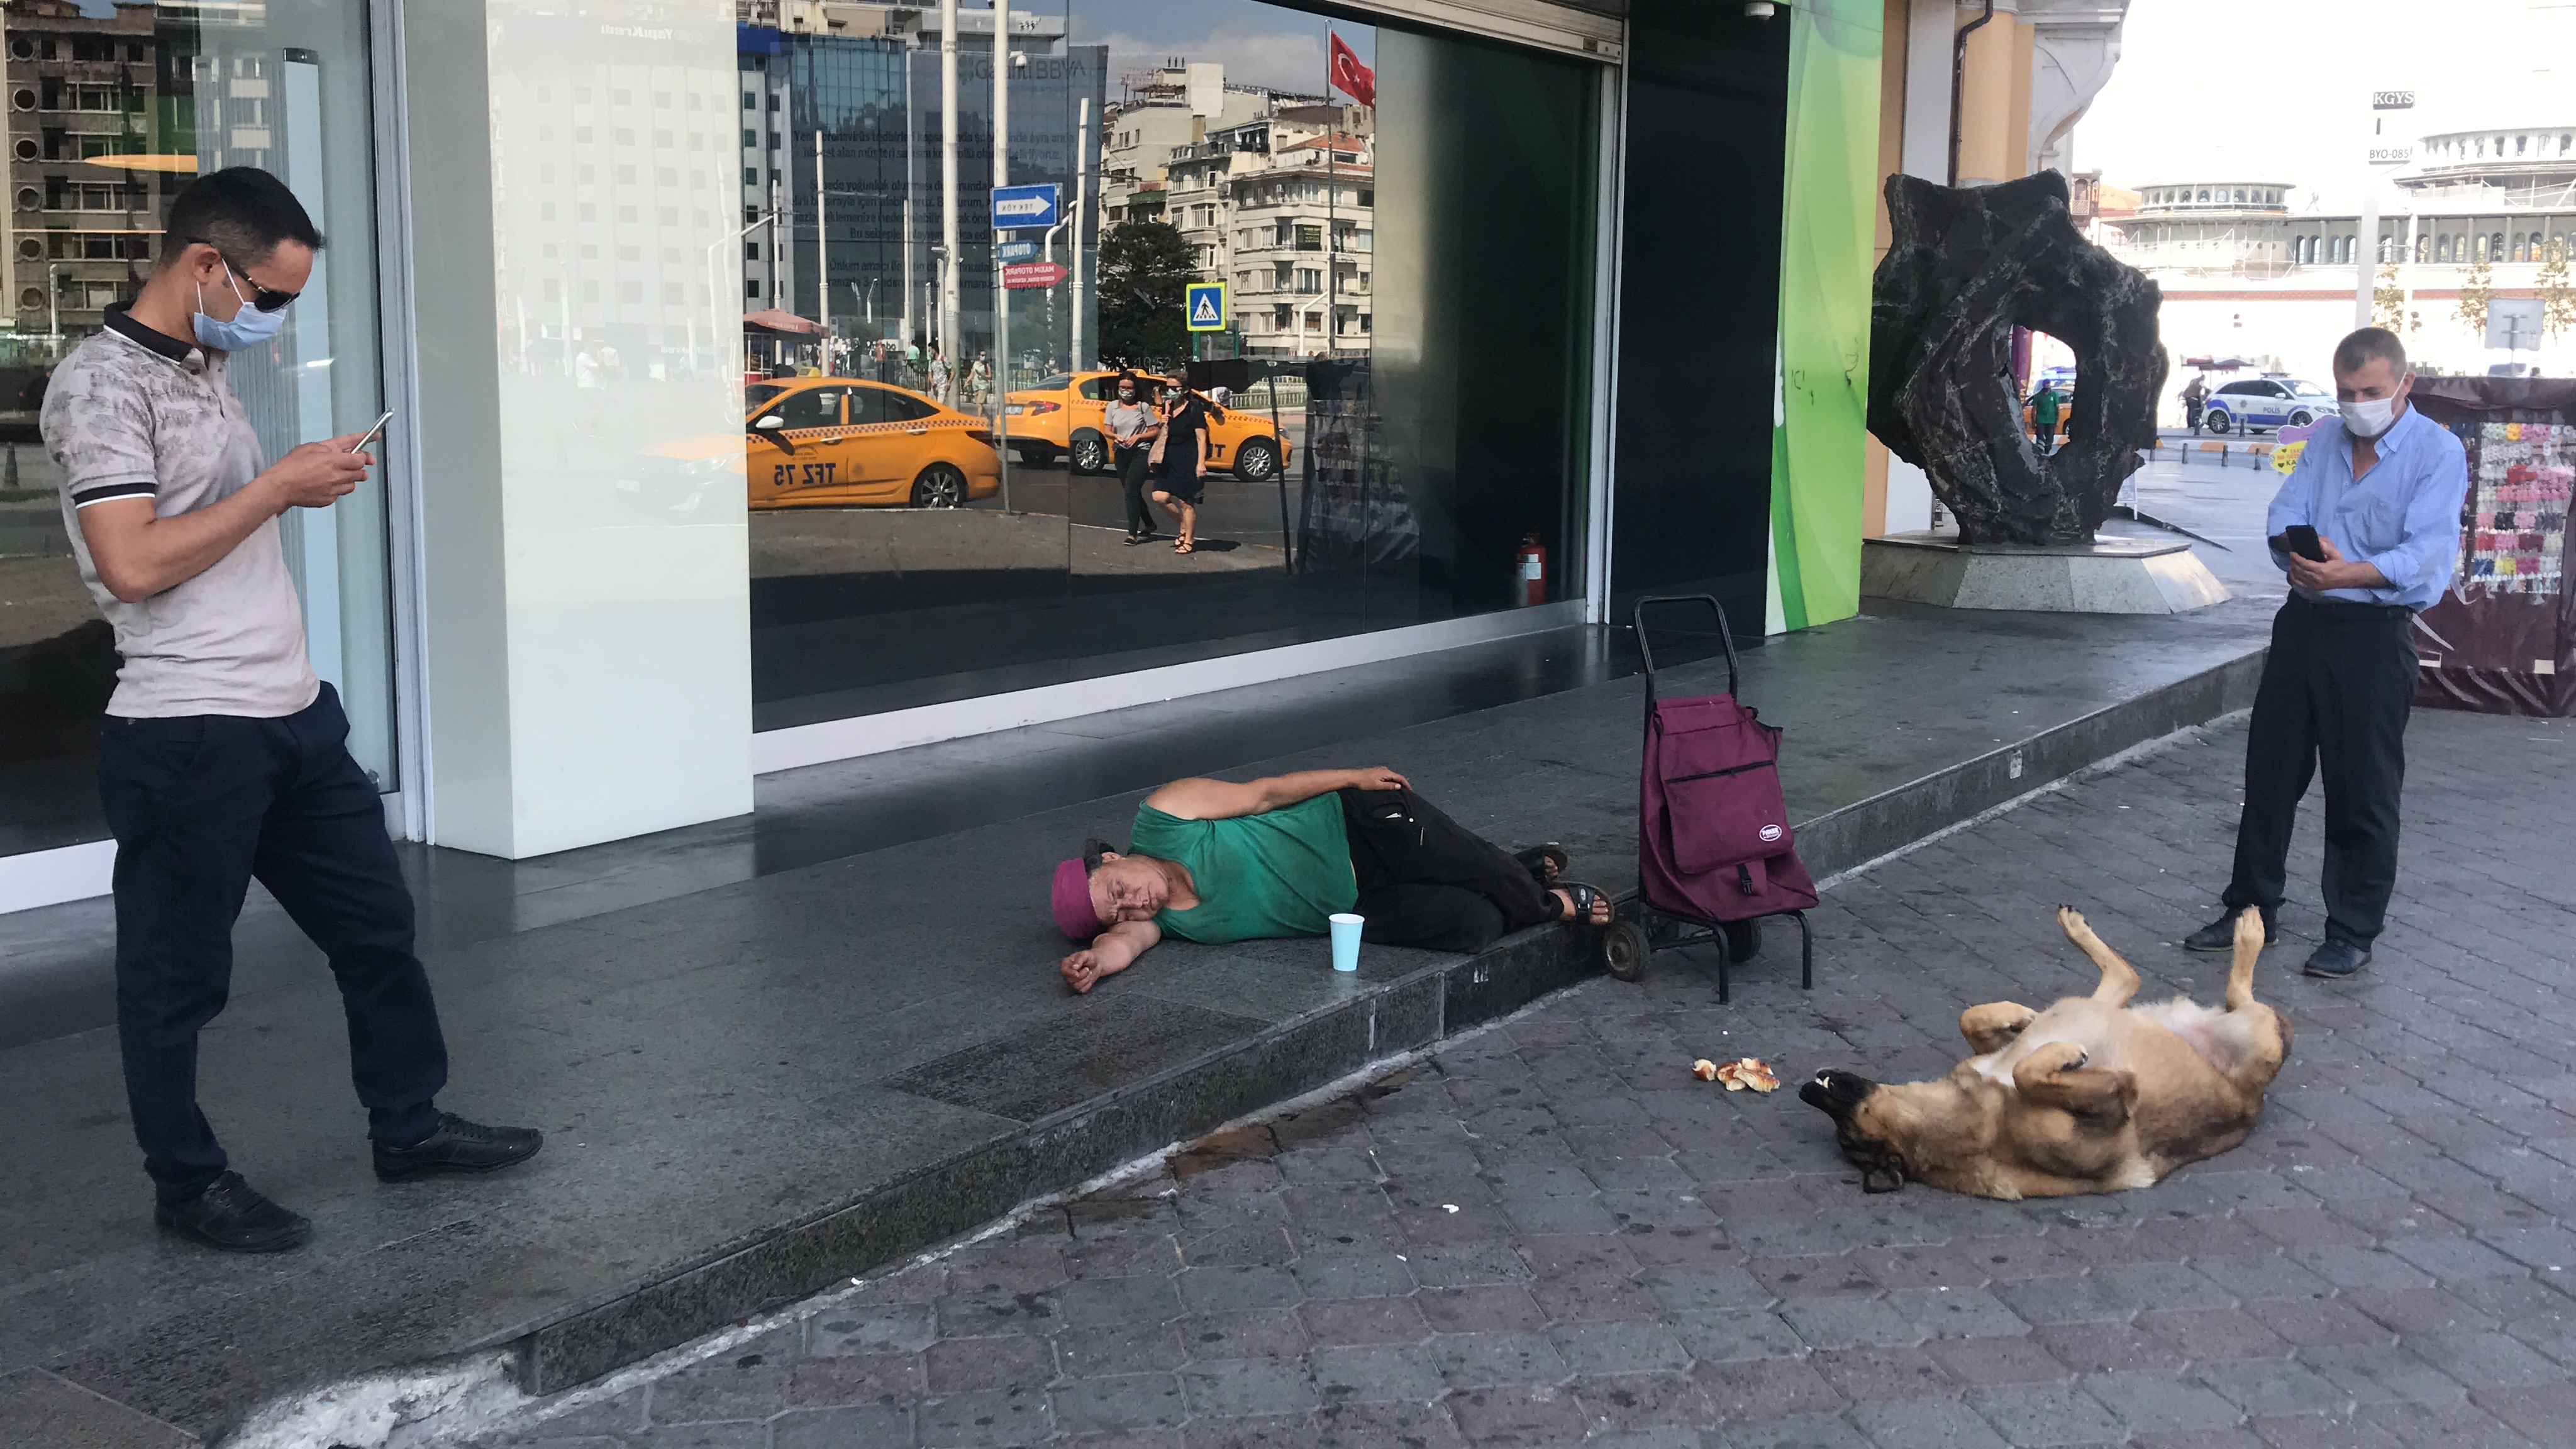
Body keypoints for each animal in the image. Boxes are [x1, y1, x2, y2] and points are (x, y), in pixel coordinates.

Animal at [1803, 902, 2287, 1196]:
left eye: (1840, 1121)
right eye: (1846, 1134)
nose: (1805, 1091)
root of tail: (2255, 1099)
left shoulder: (1987, 1056)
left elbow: (1973, 1021)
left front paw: (2017, 1019)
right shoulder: (2112, 1103)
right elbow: (2029, 1073)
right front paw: (2063, 1055)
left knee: (2125, 980)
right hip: (2263, 1037)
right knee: (2228, 994)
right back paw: (2249, 928)